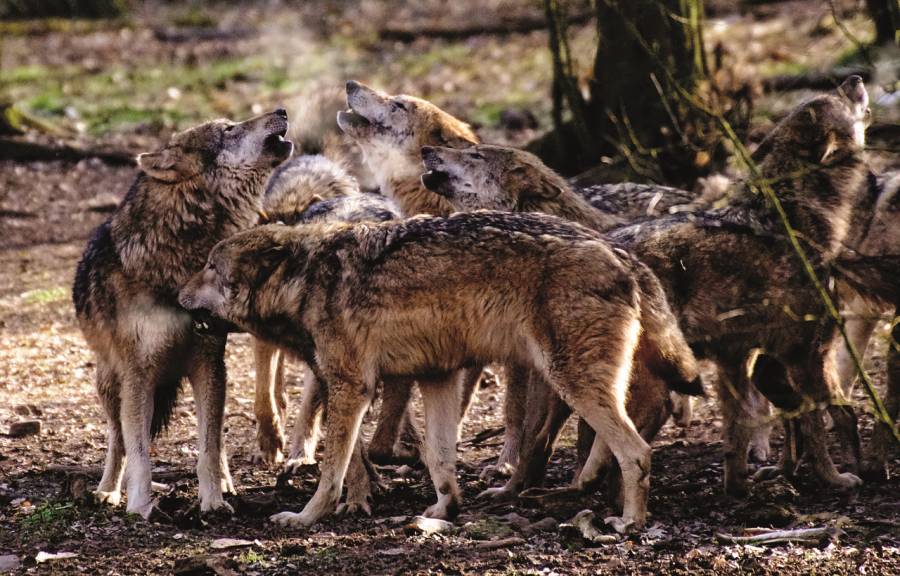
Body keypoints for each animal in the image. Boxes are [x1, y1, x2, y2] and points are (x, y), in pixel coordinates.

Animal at [73, 109, 294, 516]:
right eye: (229, 129)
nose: (282, 111)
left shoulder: (209, 362)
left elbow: (209, 447)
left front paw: (213, 502)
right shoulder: (138, 375)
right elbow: (139, 452)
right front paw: (139, 505)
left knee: (217, 442)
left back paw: (227, 485)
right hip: (110, 384)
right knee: (117, 439)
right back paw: (107, 490)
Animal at [174, 212, 696, 536]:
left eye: (210, 267)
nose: (176, 296)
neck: (307, 279)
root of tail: (619, 251)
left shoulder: (352, 386)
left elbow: (331, 471)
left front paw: (305, 519)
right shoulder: (438, 378)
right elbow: (440, 459)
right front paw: (445, 510)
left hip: (570, 380)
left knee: (638, 450)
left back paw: (629, 522)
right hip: (578, 381)